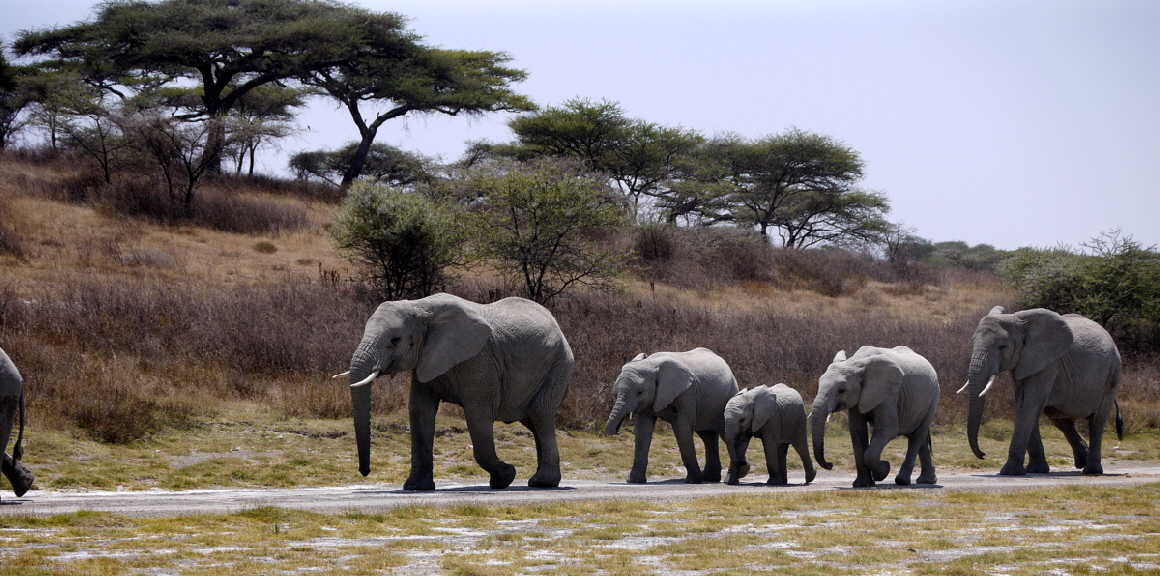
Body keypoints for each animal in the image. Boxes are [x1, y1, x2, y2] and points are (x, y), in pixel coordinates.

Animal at [338, 292, 575, 489]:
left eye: (395, 340)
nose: (365, 472)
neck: (420, 306)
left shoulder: (479, 360)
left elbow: (477, 414)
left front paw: (506, 476)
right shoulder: (427, 358)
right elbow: (419, 412)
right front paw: (416, 487)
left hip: (560, 365)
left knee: (540, 416)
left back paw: (542, 483)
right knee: (533, 421)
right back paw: (540, 480)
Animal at [603, 347, 737, 482]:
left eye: (640, 392)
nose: (618, 431)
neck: (650, 363)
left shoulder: (687, 393)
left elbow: (682, 430)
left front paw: (692, 481)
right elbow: (642, 431)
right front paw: (634, 481)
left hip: (729, 395)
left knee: (726, 434)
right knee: (708, 437)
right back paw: (710, 478)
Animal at [807, 345, 941, 484]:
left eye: (842, 390)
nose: (830, 464)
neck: (856, 362)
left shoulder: (888, 393)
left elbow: (887, 430)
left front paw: (883, 472)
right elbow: (857, 431)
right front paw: (862, 484)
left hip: (933, 397)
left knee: (917, 435)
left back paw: (903, 480)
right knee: (919, 437)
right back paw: (927, 481)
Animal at [960, 308, 1122, 472]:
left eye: (1002, 347)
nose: (983, 454)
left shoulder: (1047, 364)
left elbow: (1028, 405)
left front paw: (1009, 472)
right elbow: (1023, 405)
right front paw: (1036, 470)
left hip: (1112, 374)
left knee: (1097, 421)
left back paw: (1091, 470)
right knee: (1062, 421)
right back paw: (1082, 462)